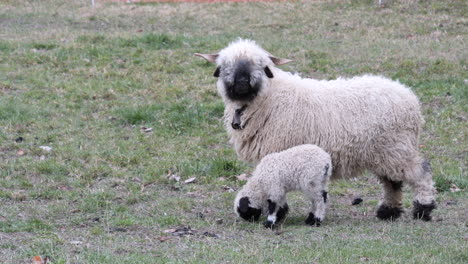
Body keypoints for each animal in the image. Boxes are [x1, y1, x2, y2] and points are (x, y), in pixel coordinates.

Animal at [196, 38, 436, 221]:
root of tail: (409, 97)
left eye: (261, 66)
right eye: (225, 65)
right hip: (384, 153)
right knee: (392, 182)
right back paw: (388, 211)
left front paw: (278, 212)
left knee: (419, 173)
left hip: (397, 148)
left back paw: (423, 208)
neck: (268, 98)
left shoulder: (280, 151)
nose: (242, 81)